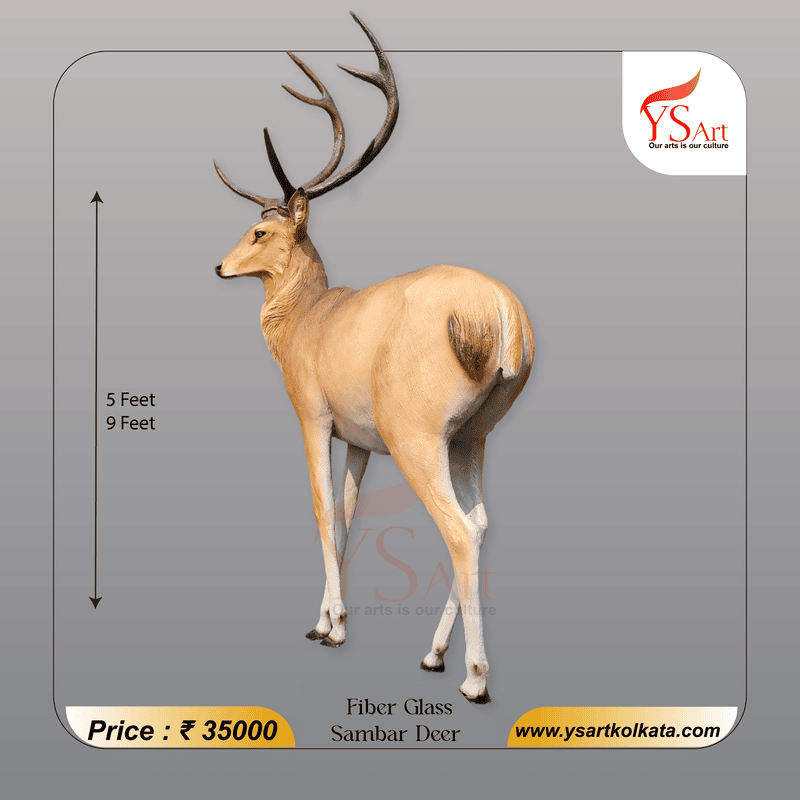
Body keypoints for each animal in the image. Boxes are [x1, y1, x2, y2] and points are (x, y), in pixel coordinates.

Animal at [213, 13, 533, 704]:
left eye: (259, 231)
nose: (218, 266)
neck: (311, 318)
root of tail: (498, 310)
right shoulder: (360, 440)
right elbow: (348, 514)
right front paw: (328, 622)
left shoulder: (314, 418)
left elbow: (318, 508)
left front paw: (330, 628)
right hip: (471, 437)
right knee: (481, 521)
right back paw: (433, 654)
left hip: (418, 439)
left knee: (458, 529)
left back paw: (473, 679)